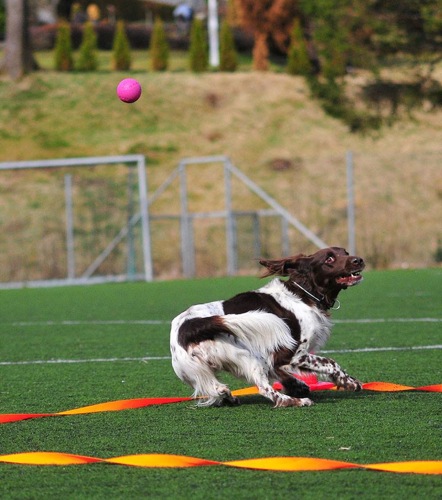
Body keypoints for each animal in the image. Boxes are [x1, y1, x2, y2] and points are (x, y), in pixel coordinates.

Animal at [169, 246, 362, 406]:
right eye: (329, 259)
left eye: (345, 252)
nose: (358, 260)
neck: (303, 294)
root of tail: (189, 325)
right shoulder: (293, 354)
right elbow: (330, 363)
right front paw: (350, 382)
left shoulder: (275, 358)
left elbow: (281, 371)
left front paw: (298, 386)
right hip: (248, 357)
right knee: (264, 388)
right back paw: (295, 401)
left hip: (196, 371)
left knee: (217, 389)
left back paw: (228, 396)